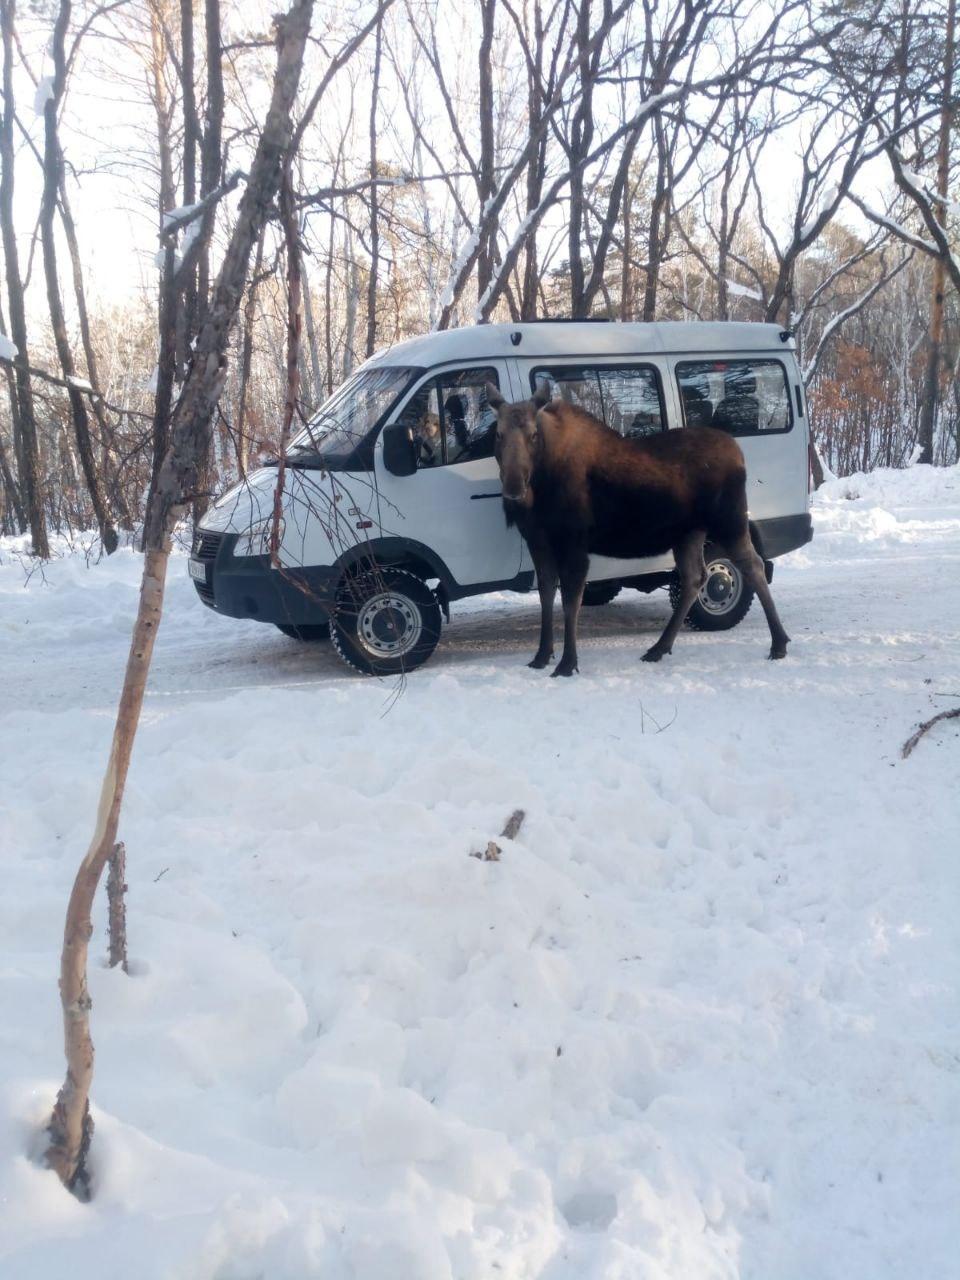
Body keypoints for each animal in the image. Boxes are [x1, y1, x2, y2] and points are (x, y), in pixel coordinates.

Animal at [491, 378, 793, 680]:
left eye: (533, 434)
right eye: (498, 434)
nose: (514, 488)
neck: (541, 484)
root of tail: (739, 453)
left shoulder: (574, 542)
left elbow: (570, 601)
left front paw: (567, 663)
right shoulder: (537, 540)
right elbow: (546, 594)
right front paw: (542, 656)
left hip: (730, 522)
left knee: (753, 566)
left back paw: (779, 643)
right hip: (688, 533)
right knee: (695, 577)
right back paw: (659, 647)